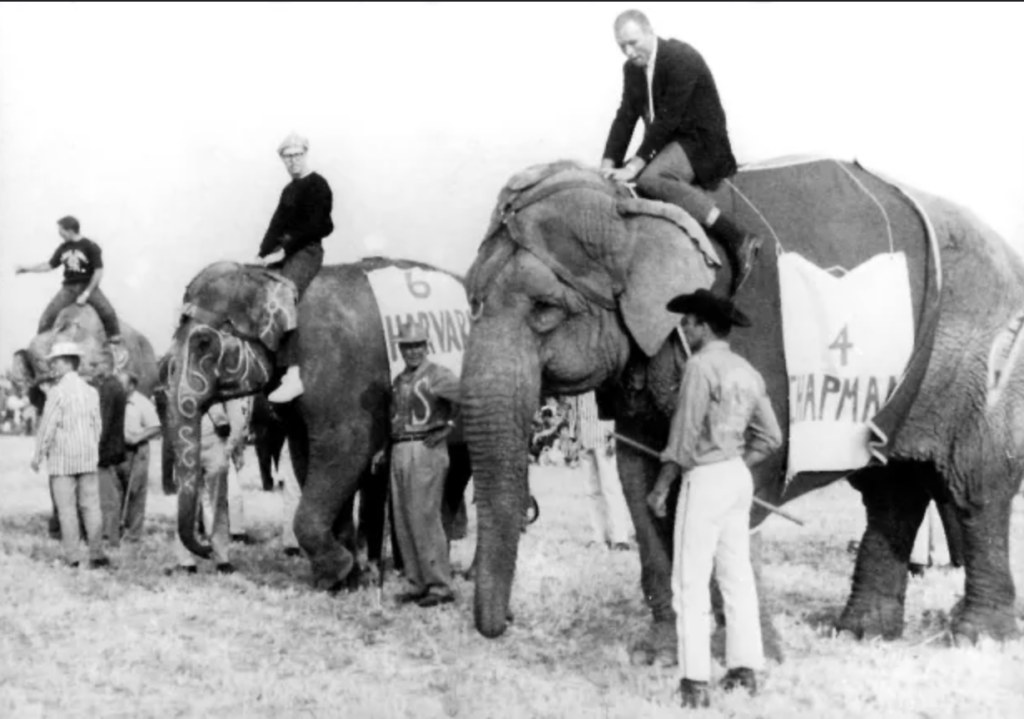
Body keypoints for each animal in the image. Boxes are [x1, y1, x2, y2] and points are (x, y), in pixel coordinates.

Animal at [161, 256, 473, 589]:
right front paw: (348, 578)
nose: (206, 548)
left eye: (204, 342)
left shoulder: (342, 372)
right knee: (455, 475)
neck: (270, 274)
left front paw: (336, 571)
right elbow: (307, 456)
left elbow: (345, 452)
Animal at [464, 157, 1024, 655]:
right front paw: (660, 654)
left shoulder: (753, 356)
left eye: (545, 309)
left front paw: (753, 657)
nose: (504, 622)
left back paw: (978, 638)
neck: (634, 208)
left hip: (989, 367)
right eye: (471, 300)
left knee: (974, 485)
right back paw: (861, 632)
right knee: (892, 490)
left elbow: (749, 471)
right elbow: (639, 479)